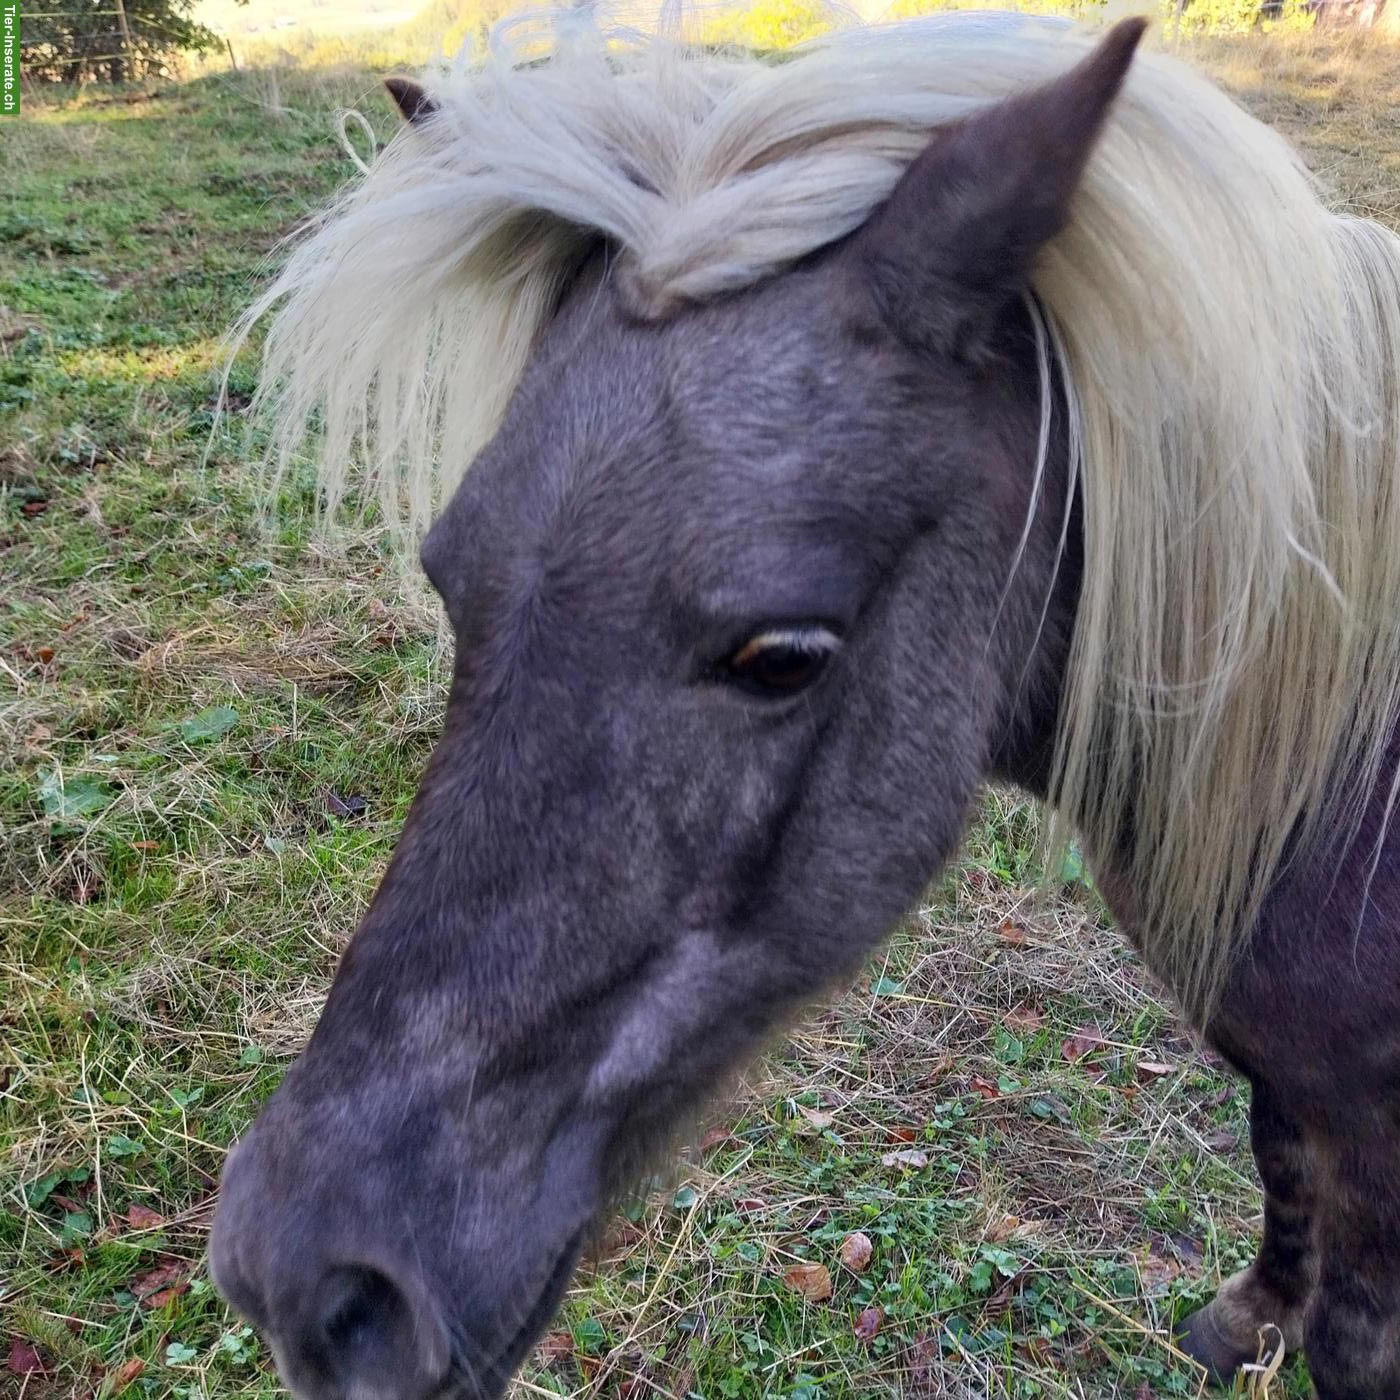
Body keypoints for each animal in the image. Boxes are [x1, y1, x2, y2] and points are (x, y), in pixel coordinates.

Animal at [207, 10, 1400, 1397]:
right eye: (452, 579)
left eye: (781, 655)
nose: (311, 1278)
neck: (1347, 778)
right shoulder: (1298, 1072)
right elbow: (1273, 1147)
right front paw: (1246, 1317)